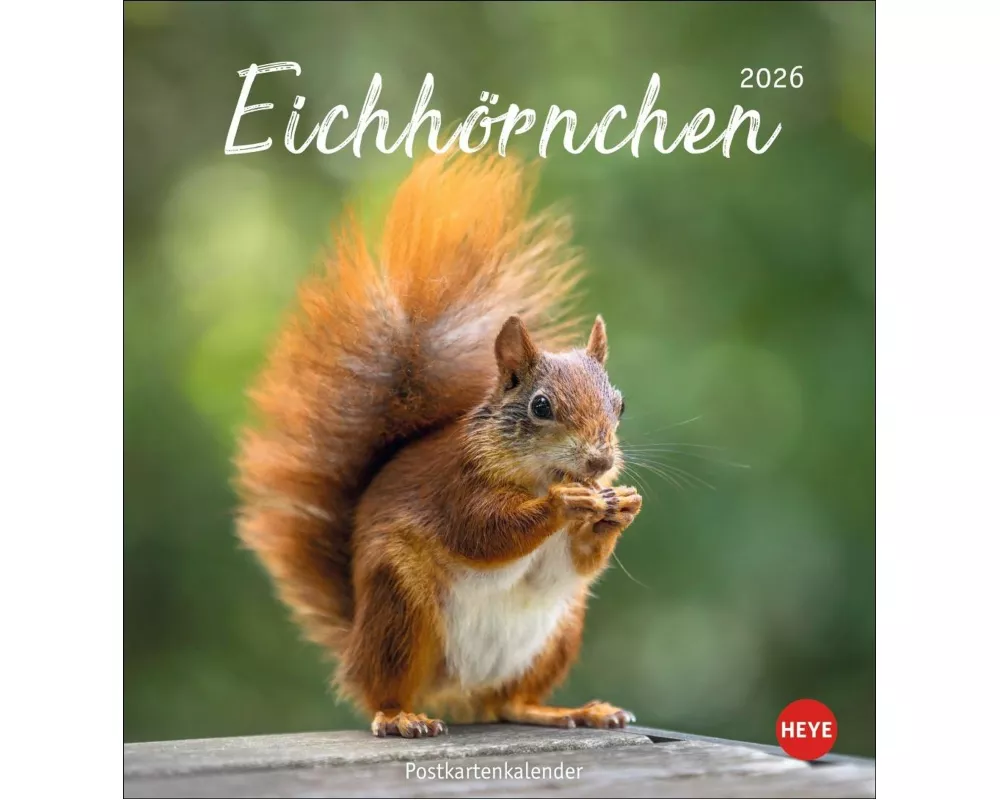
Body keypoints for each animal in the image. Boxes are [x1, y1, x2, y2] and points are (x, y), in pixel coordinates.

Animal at [235, 154, 642, 738]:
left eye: (620, 404)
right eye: (541, 406)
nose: (601, 460)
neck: (537, 473)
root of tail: (454, 693)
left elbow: (580, 559)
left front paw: (622, 505)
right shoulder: (456, 486)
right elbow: (484, 532)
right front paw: (564, 503)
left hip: (557, 631)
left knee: (511, 702)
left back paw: (569, 710)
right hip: (399, 609)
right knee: (384, 690)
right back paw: (400, 716)